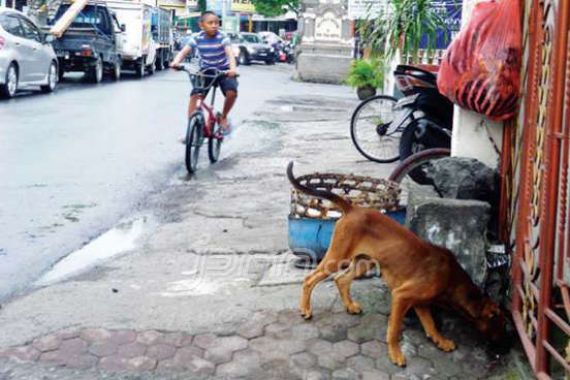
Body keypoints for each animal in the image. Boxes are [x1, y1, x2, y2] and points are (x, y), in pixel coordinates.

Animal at [286, 162, 504, 366]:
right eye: (499, 322)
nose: (505, 344)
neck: (452, 278)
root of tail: (352, 209)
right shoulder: (402, 296)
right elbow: (394, 329)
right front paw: (396, 354)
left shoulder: (420, 302)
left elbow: (430, 325)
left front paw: (440, 341)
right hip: (337, 258)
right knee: (310, 279)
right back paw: (305, 309)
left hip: (364, 262)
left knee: (341, 279)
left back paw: (350, 306)